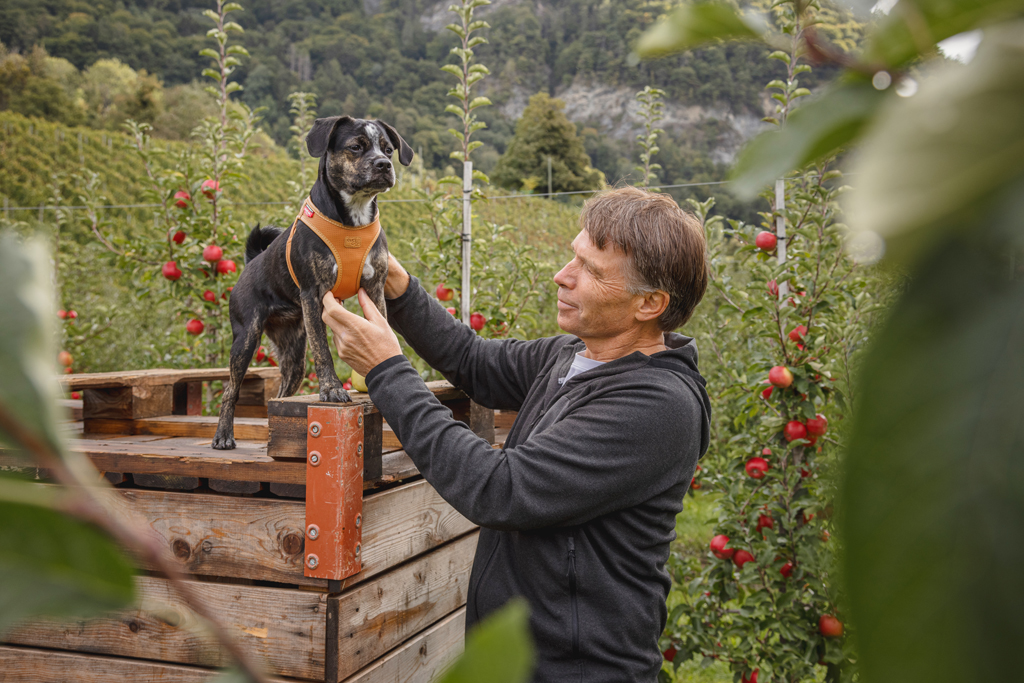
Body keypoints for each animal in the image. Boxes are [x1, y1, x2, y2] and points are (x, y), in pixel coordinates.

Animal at [214, 115, 413, 450]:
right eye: (356, 147)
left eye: (388, 149)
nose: (384, 164)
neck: (353, 220)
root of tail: (251, 261)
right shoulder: (312, 295)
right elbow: (323, 349)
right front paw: (331, 389)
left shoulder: (375, 289)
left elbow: (381, 327)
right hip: (245, 338)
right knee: (230, 390)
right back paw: (223, 435)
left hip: (293, 354)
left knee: (282, 393)